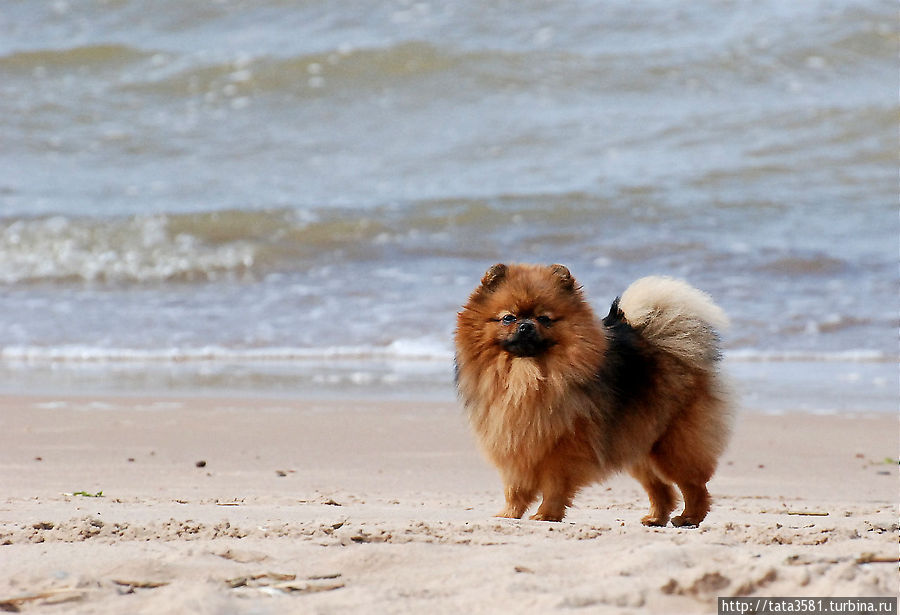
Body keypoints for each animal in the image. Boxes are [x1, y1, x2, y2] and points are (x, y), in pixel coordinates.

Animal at [454, 262, 736, 528]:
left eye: (544, 319)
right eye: (508, 318)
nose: (525, 326)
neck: (527, 376)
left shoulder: (563, 449)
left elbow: (554, 486)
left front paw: (546, 514)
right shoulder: (514, 442)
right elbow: (515, 488)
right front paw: (509, 514)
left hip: (671, 446)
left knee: (694, 485)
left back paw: (689, 517)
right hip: (639, 443)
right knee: (662, 489)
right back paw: (656, 518)